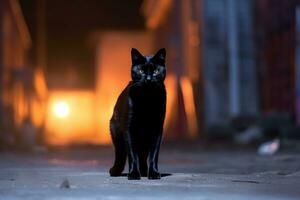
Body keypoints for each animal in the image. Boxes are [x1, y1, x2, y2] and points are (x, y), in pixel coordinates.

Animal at [109, 48, 168, 180]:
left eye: (156, 71)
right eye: (141, 71)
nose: (148, 79)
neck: (146, 99)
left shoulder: (157, 129)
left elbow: (153, 155)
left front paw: (154, 173)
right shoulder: (129, 129)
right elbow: (132, 155)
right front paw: (134, 174)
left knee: (143, 156)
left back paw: (145, 171)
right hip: (117, 135)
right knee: (121, 154)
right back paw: (115, 171)